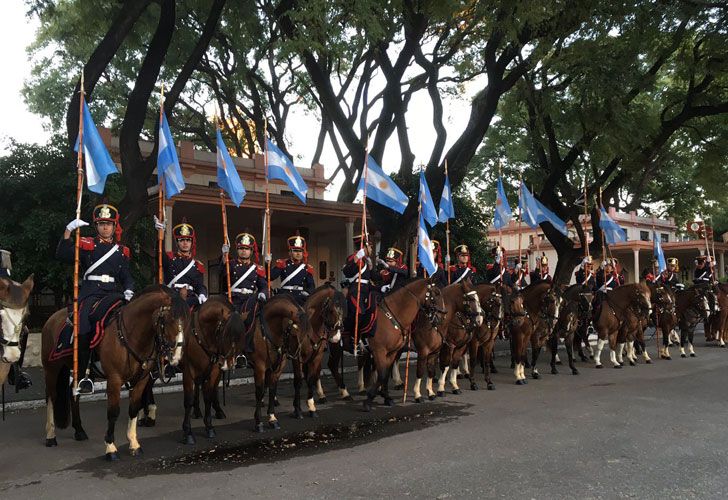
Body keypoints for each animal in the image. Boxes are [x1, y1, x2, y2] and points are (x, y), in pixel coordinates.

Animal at [41, 286, 189, 460]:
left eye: (186, 320)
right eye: (168, 319)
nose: (176, 356)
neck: (133, 335)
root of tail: (52, 318)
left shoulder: (142, 379)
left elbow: (133, 408)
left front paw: (134, 443)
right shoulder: (114, 380)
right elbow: (113, 412)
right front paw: (111, 447)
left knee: (73, 393)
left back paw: (79, 430)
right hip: (52, 369)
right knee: (51, 397)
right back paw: (51, 436)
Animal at [181, 294, 246, 444]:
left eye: (241, 336)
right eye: (227, 334)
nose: (230, 363)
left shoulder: (213, 371)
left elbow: (208, 397)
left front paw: (209, 426)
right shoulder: (188, 372)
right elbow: (188, 400)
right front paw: (188, 432)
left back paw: (213, 410)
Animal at [249, 294, 308, 432]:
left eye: (305, 332)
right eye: (294, 333)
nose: (297, 355)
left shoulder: (277, 366)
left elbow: (272, 388)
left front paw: (272, 418)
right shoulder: (259, 366)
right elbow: (259, 391)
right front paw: (258, 422)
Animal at [290, 286, 344, 418]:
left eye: (342, 311)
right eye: (331, 310)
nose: (336, 338)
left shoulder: (317, 356)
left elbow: (311, 378)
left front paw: (311, 406)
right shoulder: (297, 358)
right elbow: (298, 381)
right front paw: (297, 409)